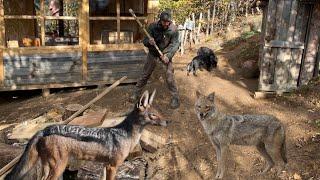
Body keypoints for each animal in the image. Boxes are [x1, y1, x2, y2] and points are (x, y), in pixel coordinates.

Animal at [5, 89, 168, 180]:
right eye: (153, 115)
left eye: (159, 113)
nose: (168, 121)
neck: (125, 134)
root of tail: (43, 130)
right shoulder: (112, 166)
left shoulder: (105, 165)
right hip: (58, 167)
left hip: (47, 167)